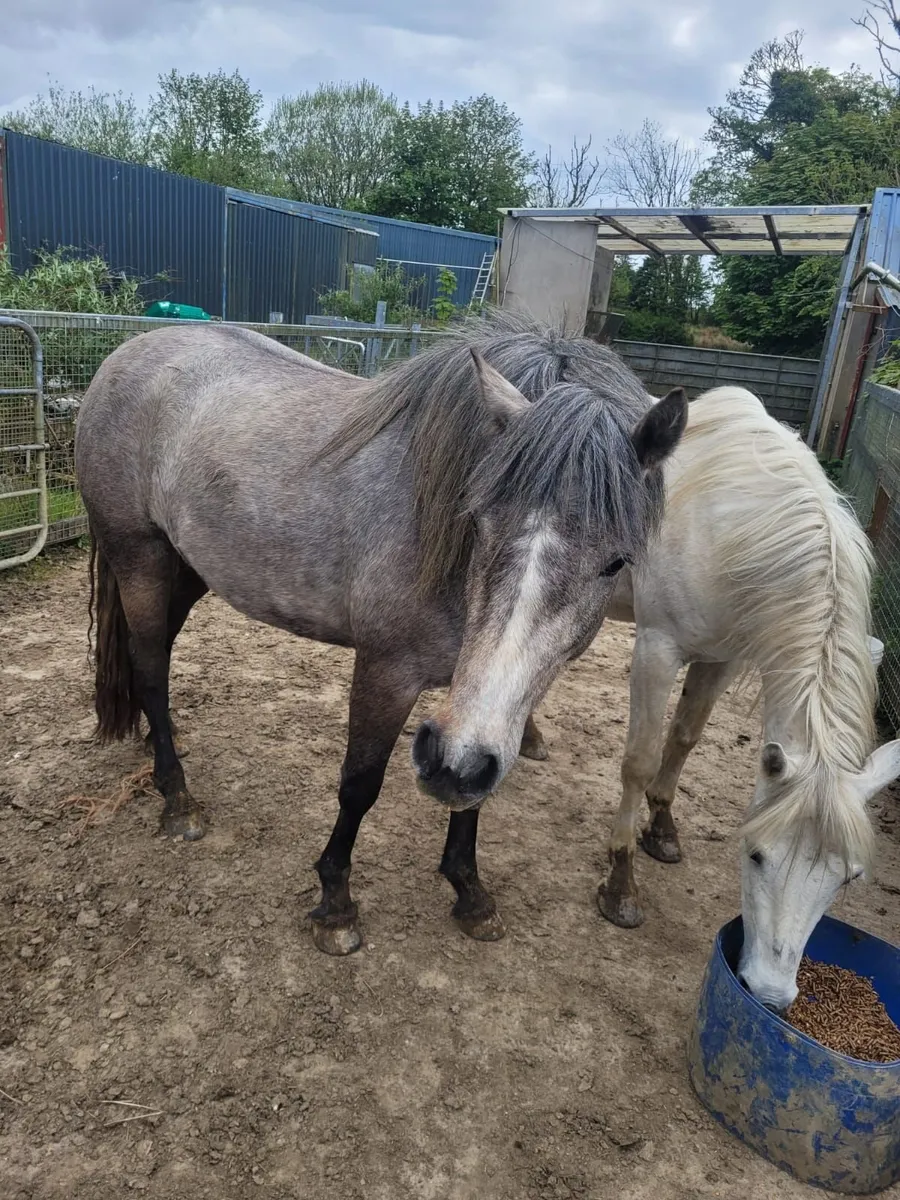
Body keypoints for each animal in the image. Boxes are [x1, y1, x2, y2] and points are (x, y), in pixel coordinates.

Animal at [74, 312, 687, 957]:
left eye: (617, 562)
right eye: (479, 522)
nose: (452, 762)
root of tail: (125, 354)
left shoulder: (489, 705)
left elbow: (477, 789)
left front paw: (470, 893)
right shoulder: (387, 671)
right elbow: (360, 784)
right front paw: (336, 905)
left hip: (186, 568)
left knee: (156, 660)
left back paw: (157, 745)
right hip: (139, 558)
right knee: (149, 667)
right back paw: (177, 800)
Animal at [527, 385, 900, 1012]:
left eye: (847, 878)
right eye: (756, 855)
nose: (769, 994)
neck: (734, 528)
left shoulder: (719, 660)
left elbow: (684, 739)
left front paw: (662, 830)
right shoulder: (656, 650)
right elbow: (639, 760)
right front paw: (621, 884)